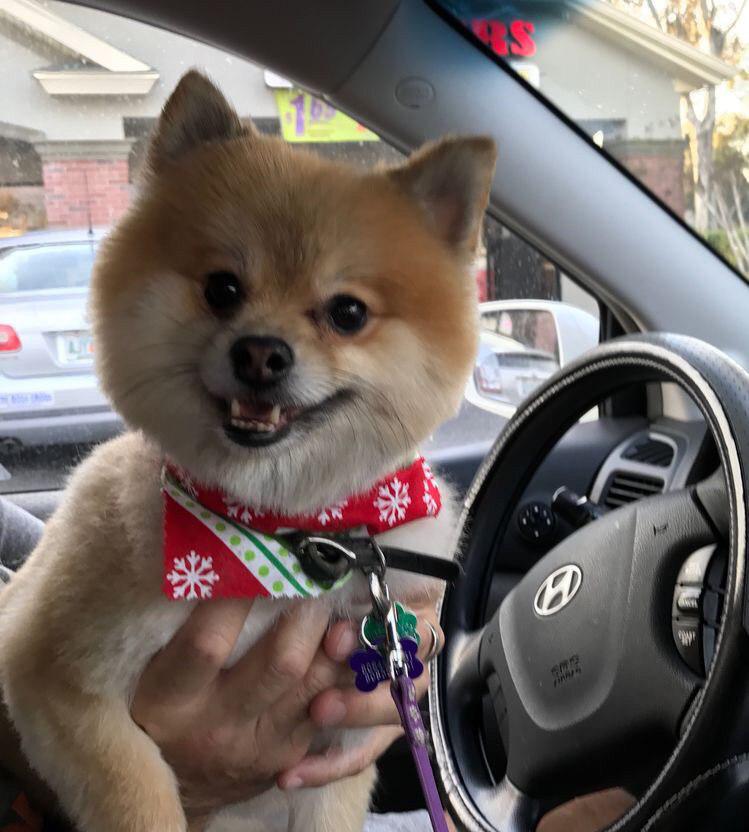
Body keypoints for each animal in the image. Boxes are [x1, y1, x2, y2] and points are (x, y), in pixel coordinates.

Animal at [0, 71, 494, 832]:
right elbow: (138, 799)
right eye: (221, 289)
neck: (280, 532)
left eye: (347, 313)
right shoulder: (52, 677)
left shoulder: (334, 744)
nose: (261, 352)